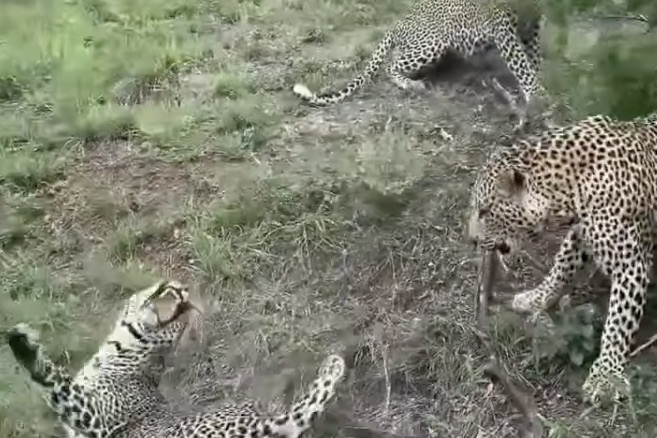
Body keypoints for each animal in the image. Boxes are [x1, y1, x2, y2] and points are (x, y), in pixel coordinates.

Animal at [7, 280, 347, 438]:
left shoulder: (91, 417)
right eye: (177, 303)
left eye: (178, 316)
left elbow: (56, 383)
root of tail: (264, 424)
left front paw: (22, 343)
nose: (182, 292)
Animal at [292, 0, 544, 129]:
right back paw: (411, 84)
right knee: (390, 65)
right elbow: (521, 64)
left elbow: (533, 59)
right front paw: (537, 92)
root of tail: (397, 25)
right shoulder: (503, 29)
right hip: (433, 43)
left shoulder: (533, 25)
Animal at [467, 113, 657, 404]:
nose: (472, 240)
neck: (568, 185)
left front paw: (605, 375)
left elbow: (618, 321)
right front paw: (536, 297)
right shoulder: (582, 232)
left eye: (485, 211)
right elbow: (562, 265)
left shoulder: (629, 262)